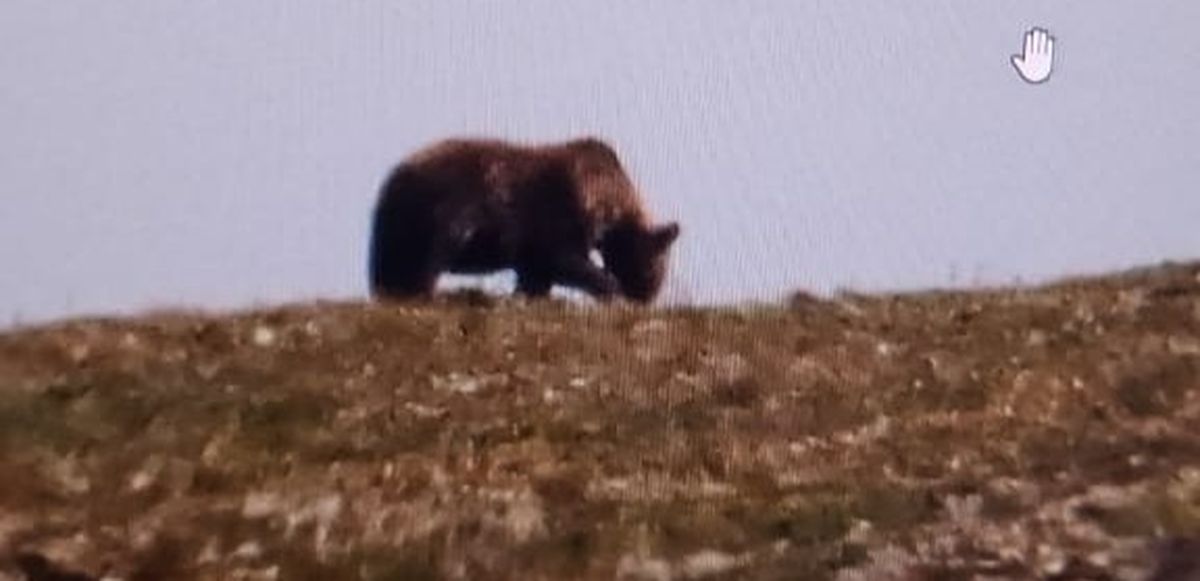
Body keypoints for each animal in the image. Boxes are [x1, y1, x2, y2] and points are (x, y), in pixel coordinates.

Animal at [368, 136, 680, 303]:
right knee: (431, 256)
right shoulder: (559, 215)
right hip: (439, 208)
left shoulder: (533, 247)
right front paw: (610, 289)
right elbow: (565, 260)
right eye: (657, 264)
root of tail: (395, 177)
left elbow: (536, 276)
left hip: (399, 225)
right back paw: (428, 291)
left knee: (394, 265)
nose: (647, 296)